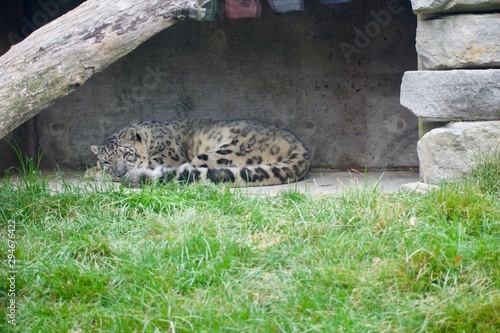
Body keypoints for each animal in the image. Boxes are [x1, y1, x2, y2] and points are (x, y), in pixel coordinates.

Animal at [89, 118, 308, 187]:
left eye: (126, 154)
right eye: (106, 161)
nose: (120, 173)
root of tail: (298, 144)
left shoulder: (165, 157)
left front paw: (94, 174)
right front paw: (94, 170)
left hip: (224, 152)